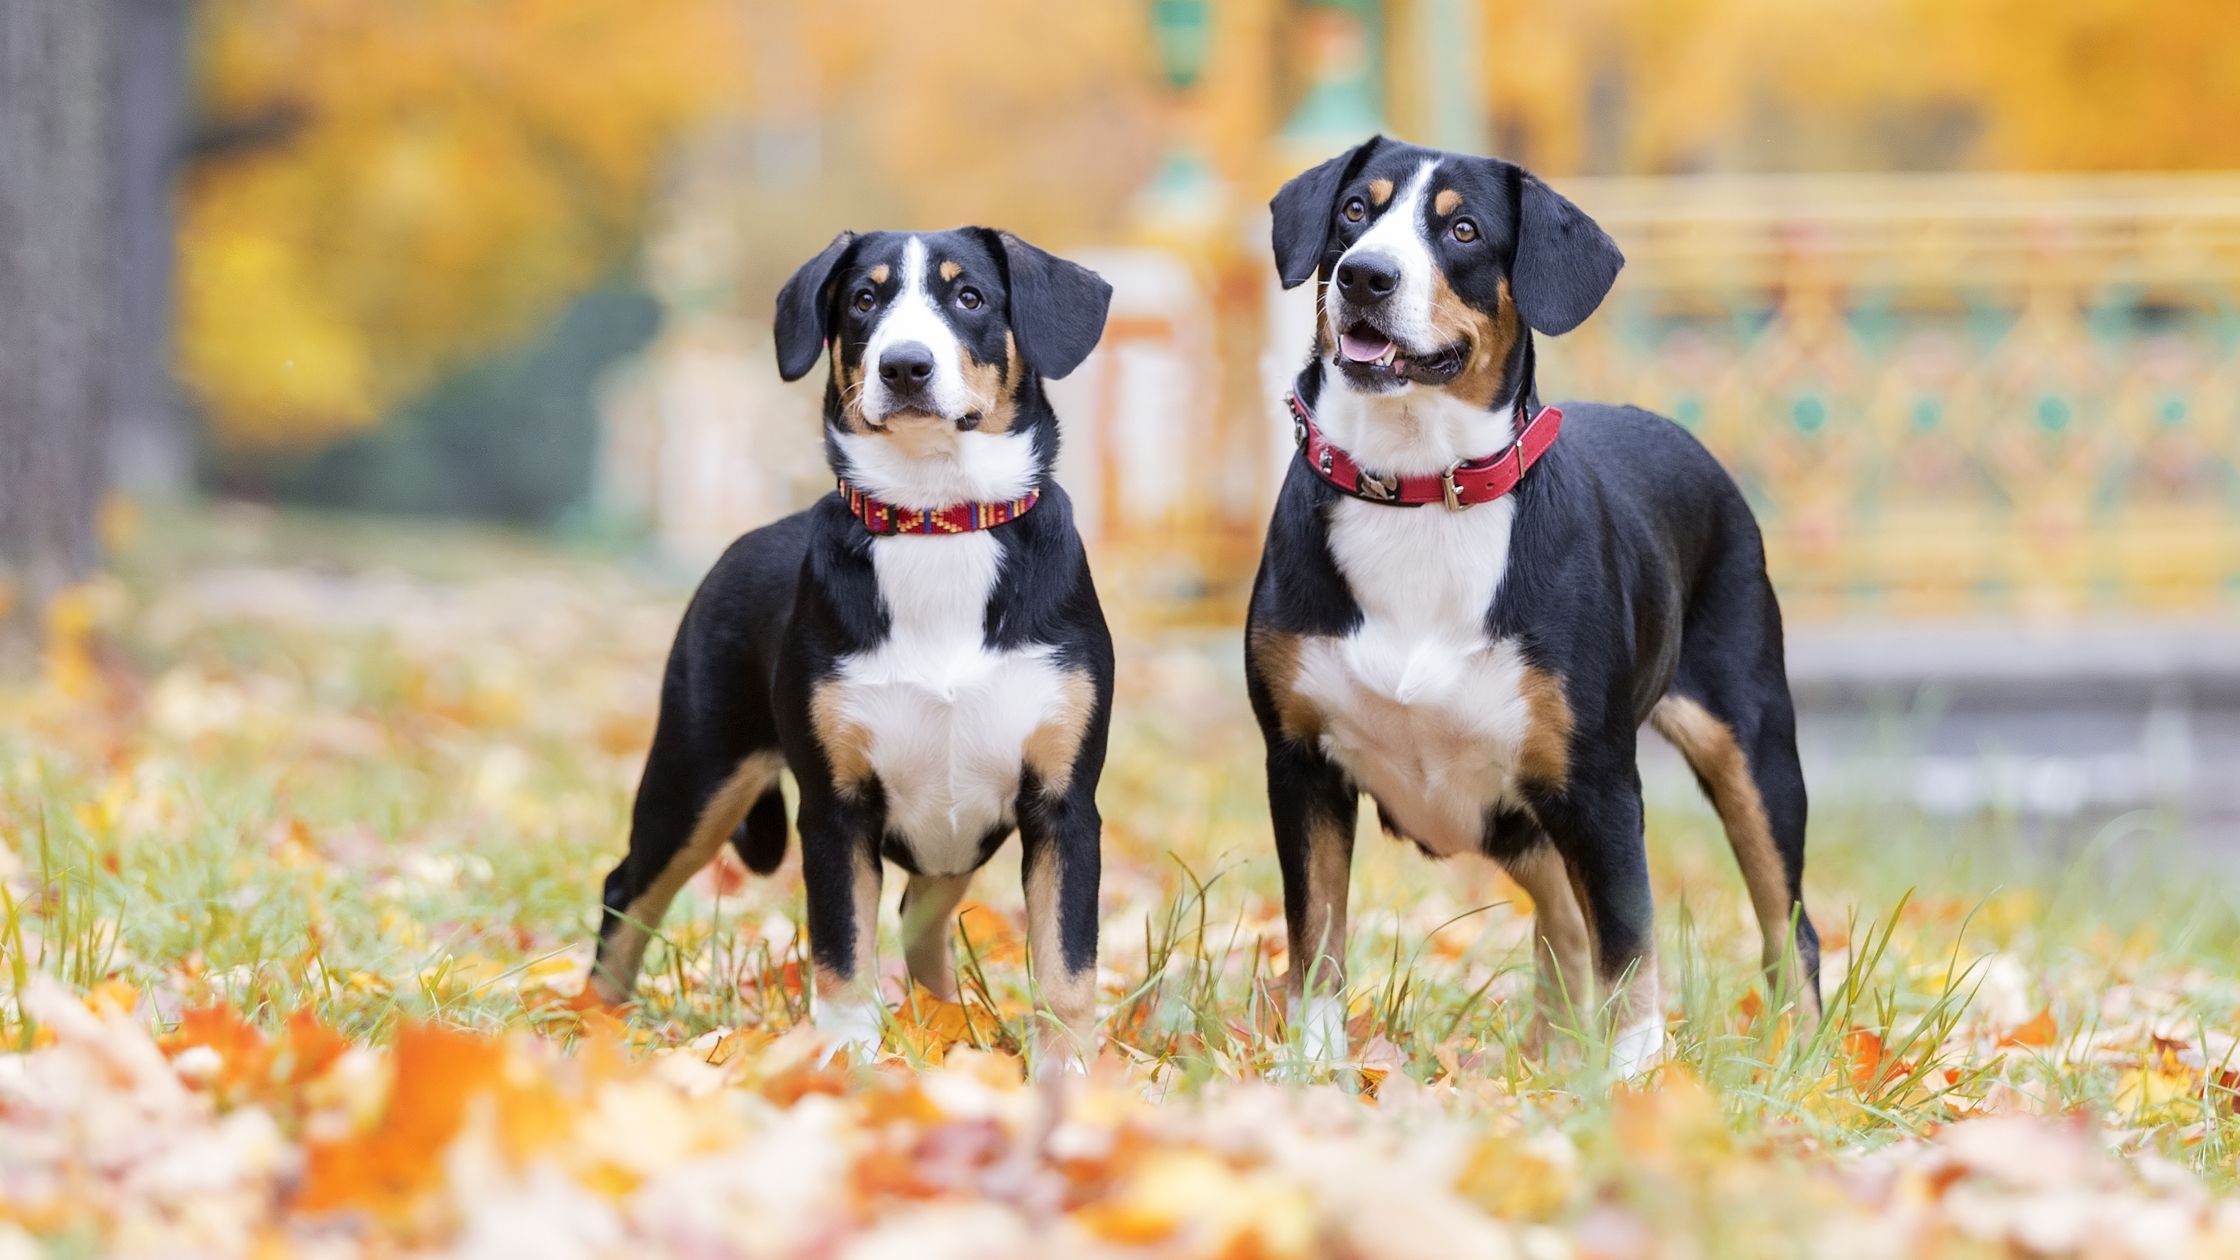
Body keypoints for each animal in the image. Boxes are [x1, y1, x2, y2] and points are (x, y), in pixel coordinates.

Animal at [591, 227, 1115, 1067]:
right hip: (696, 774)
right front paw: (846, 1068)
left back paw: (942, 1020)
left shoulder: (1064, 803)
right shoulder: (836, 810)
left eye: (969, 296)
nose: (905, 366)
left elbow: (1067, 965)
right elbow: (842, 955)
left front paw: (1068, 1073)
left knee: (919, 916)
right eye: (864, 299)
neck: (937, 525)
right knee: (627, 889)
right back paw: (592, 1024)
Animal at [1245, 139, 1818, 1067]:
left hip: (1752, 748)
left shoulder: (1598, 784)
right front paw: (1314, 1064)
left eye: (1464, 229)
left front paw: (1635, 1076)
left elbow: (1632, 944)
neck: (1417, 491)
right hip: (1517, 815)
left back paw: (1801, 1054)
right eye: (1355, 212)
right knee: (1565, 926)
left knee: (1785, 925)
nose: (1365, 276)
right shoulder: (1300, 764)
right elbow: (1317, 936)